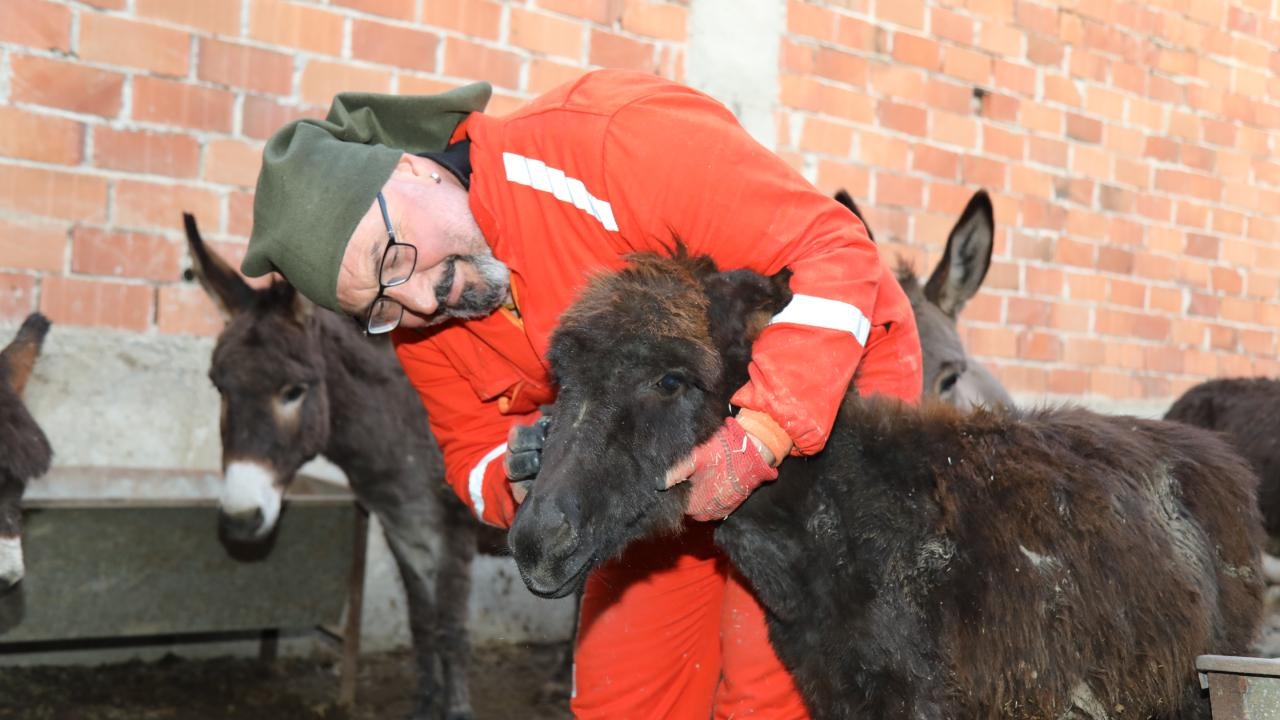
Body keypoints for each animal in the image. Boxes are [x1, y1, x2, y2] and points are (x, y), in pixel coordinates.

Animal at [186, 215, 486, 717]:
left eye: (294, 390)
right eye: (218, 387)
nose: (239, 521)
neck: (407, 422)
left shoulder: (455, 533)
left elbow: (454, 634)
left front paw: (457, 709)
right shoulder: (406, 530)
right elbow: (422, 625)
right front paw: (424, 707)